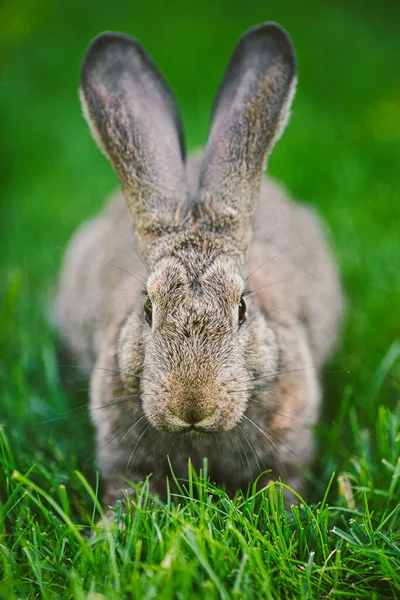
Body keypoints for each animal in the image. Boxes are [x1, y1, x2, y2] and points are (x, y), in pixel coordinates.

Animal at [55, 24, 344, 510]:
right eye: (148, 308)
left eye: (242, 308)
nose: (192, 406)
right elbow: (125, 490)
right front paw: (113, 525)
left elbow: (282, 486)